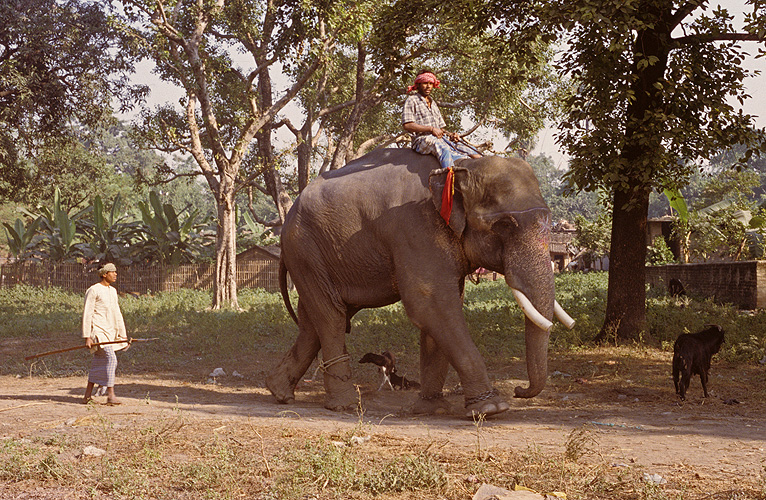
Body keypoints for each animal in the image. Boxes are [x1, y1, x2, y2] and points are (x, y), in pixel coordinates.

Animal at [268, 148, 572, 418]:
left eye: (548, 220)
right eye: (505, 225)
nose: (520, 391)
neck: (459, 168)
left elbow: (441, 310)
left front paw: (433, 409)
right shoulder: (415, 228)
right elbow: (430, 304)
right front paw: (491, 408)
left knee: (316, 321)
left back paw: (280, 393)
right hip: (305, 250)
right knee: (331, 316)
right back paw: (343, 405)